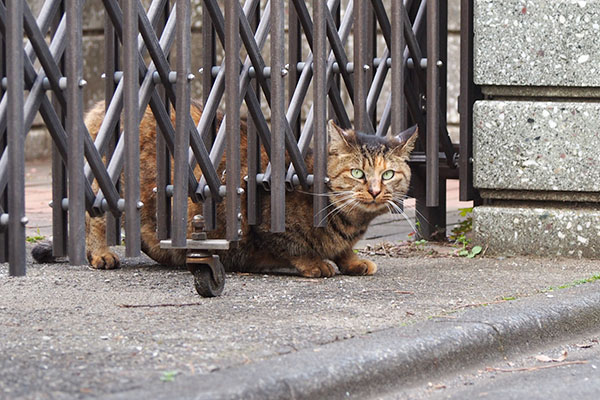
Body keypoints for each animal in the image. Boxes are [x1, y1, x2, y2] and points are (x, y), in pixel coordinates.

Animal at [34, 101, 418, 278]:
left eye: (388, 175)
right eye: (357, 172)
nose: (374, 191)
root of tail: (102, 107)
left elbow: (343, 251)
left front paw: (351, 260)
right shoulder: (262, 216)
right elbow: (291, 244)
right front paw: (315, 262)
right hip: (114, 188)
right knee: (94, 218)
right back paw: (101, 253)